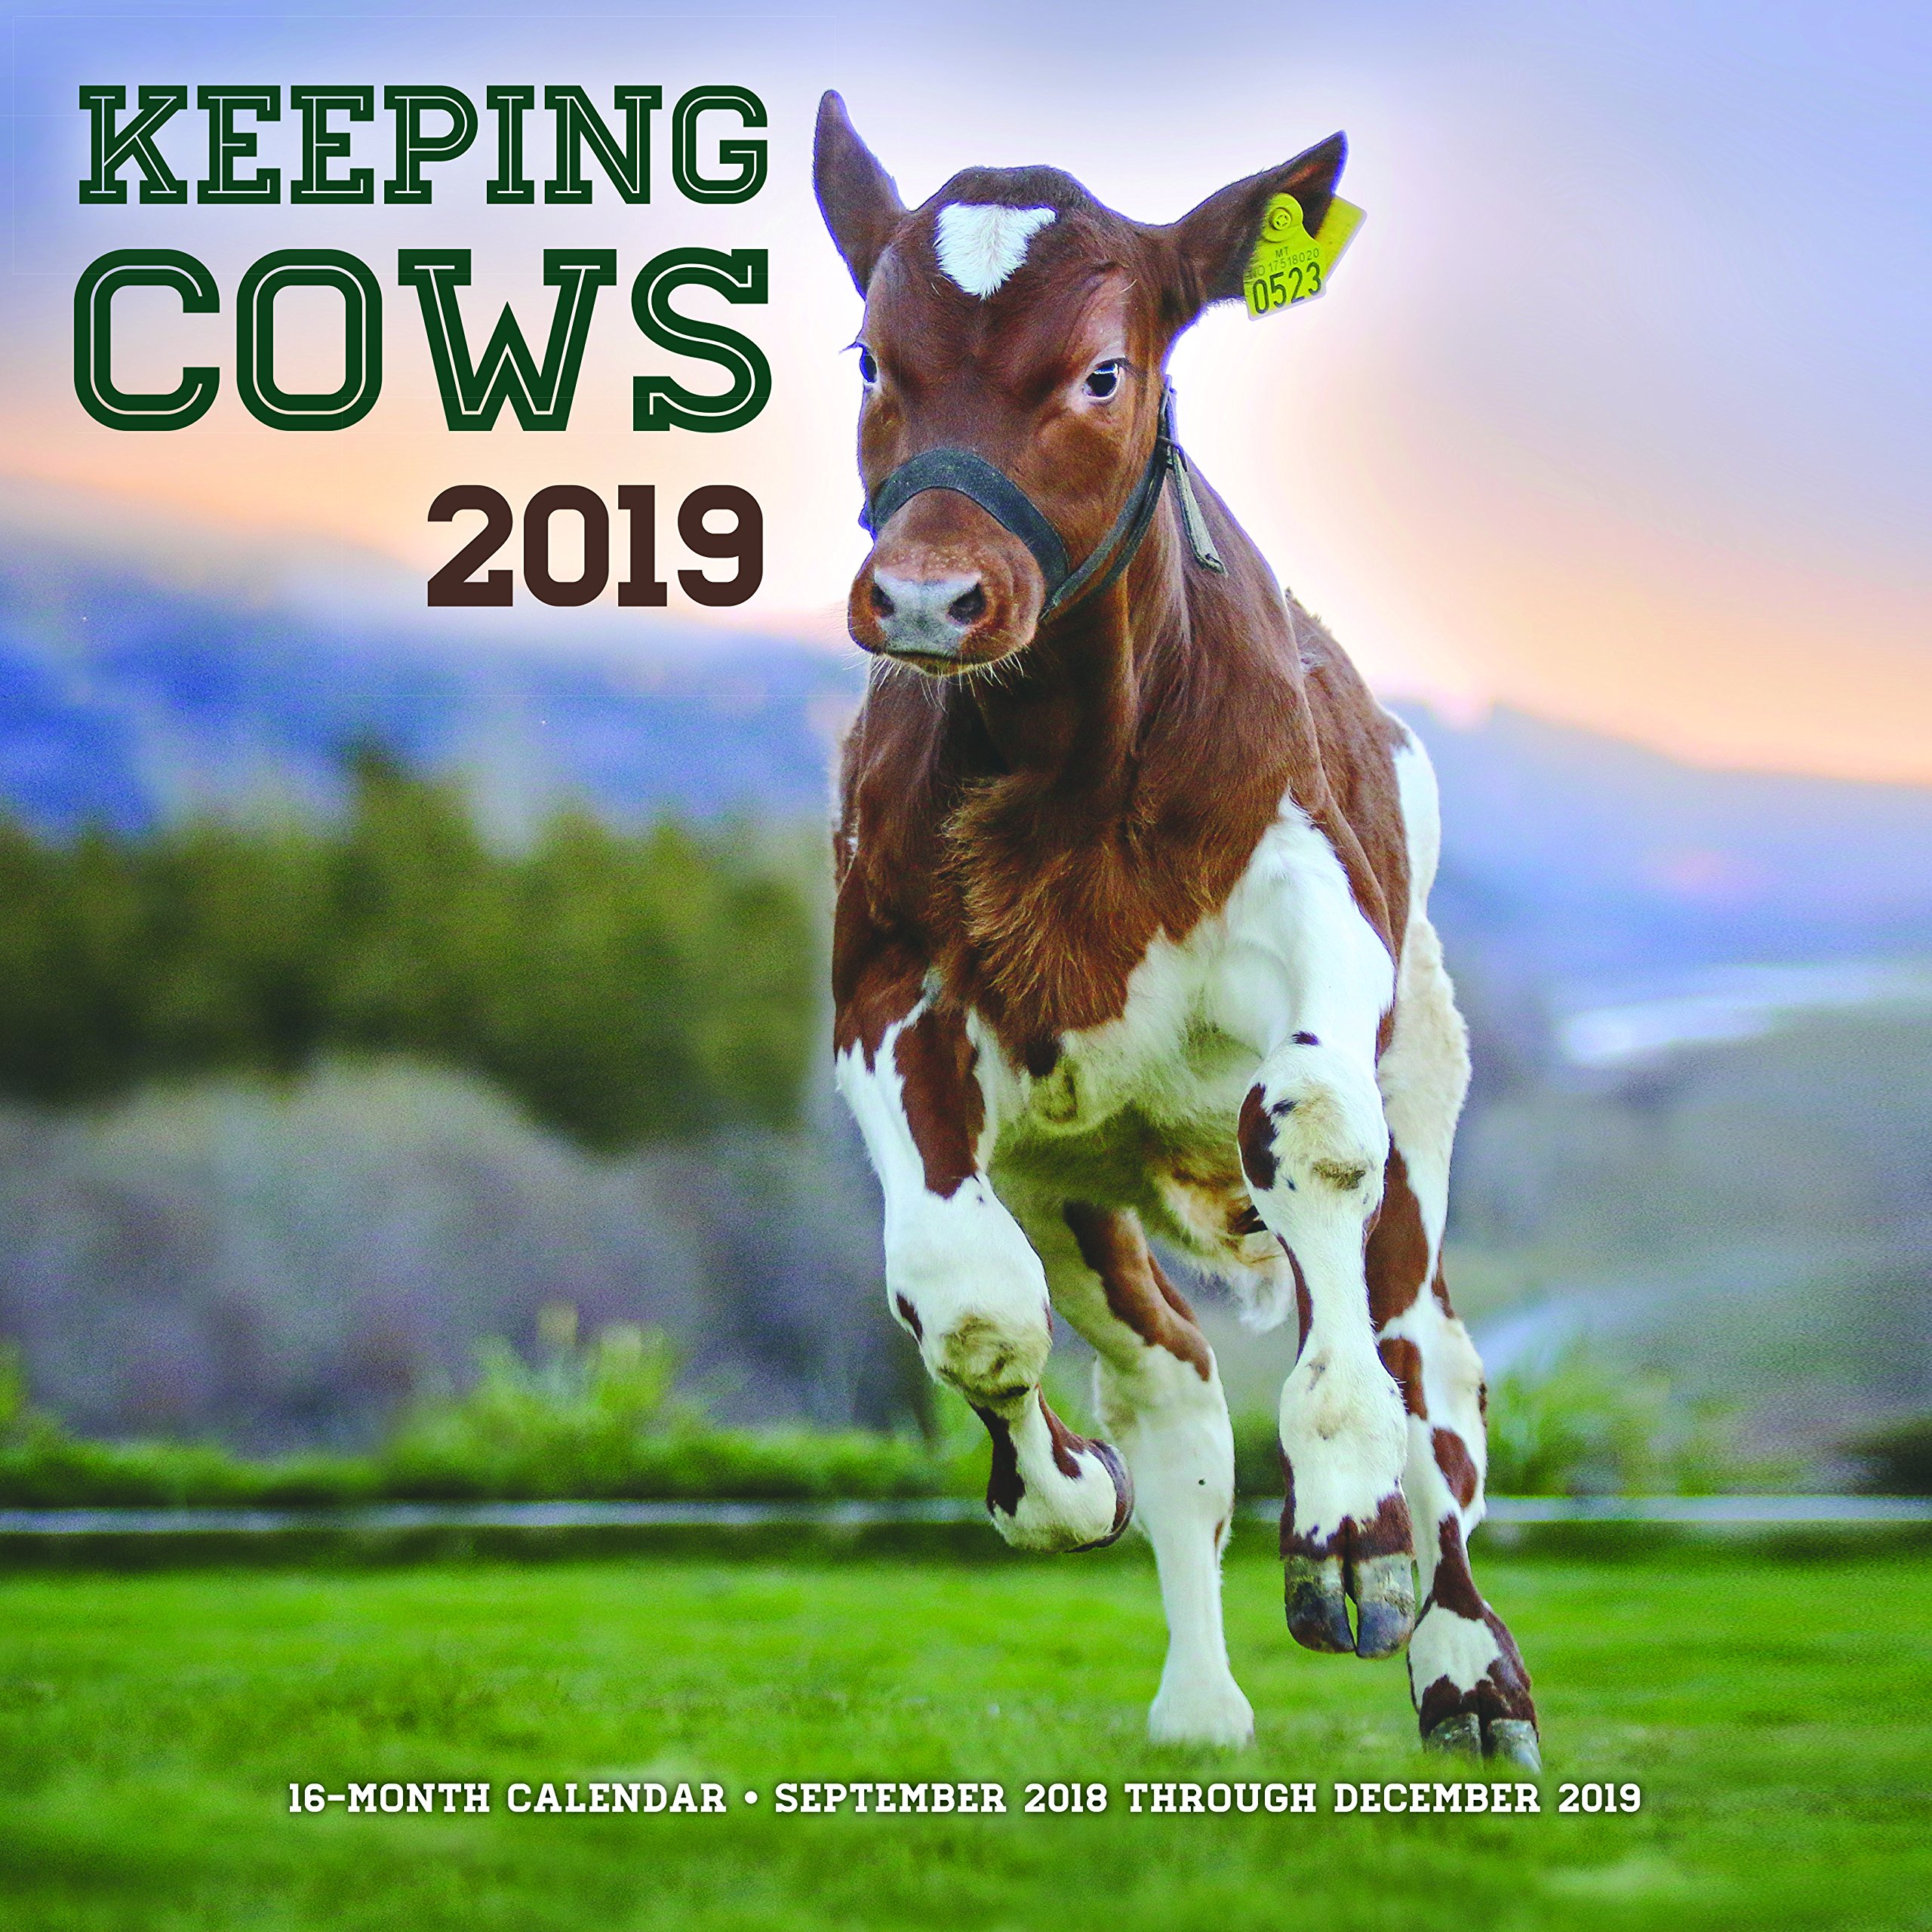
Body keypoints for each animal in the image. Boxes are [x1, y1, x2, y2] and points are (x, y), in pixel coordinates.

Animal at [814, 91, 1538, 1768]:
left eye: (1101, 370)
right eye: (871, 357)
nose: (928, 597)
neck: (1065, 778)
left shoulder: (1317, 933)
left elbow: (1313, 1130)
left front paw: (1342, 1528)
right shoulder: (884, 982)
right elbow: (967, 1298)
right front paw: (1056, 1482)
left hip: (1426, 1092)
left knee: (1431, 1369)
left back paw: (1460, 1662)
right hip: (1080, 1174)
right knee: (1177, 1385)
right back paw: (1200, 1704)